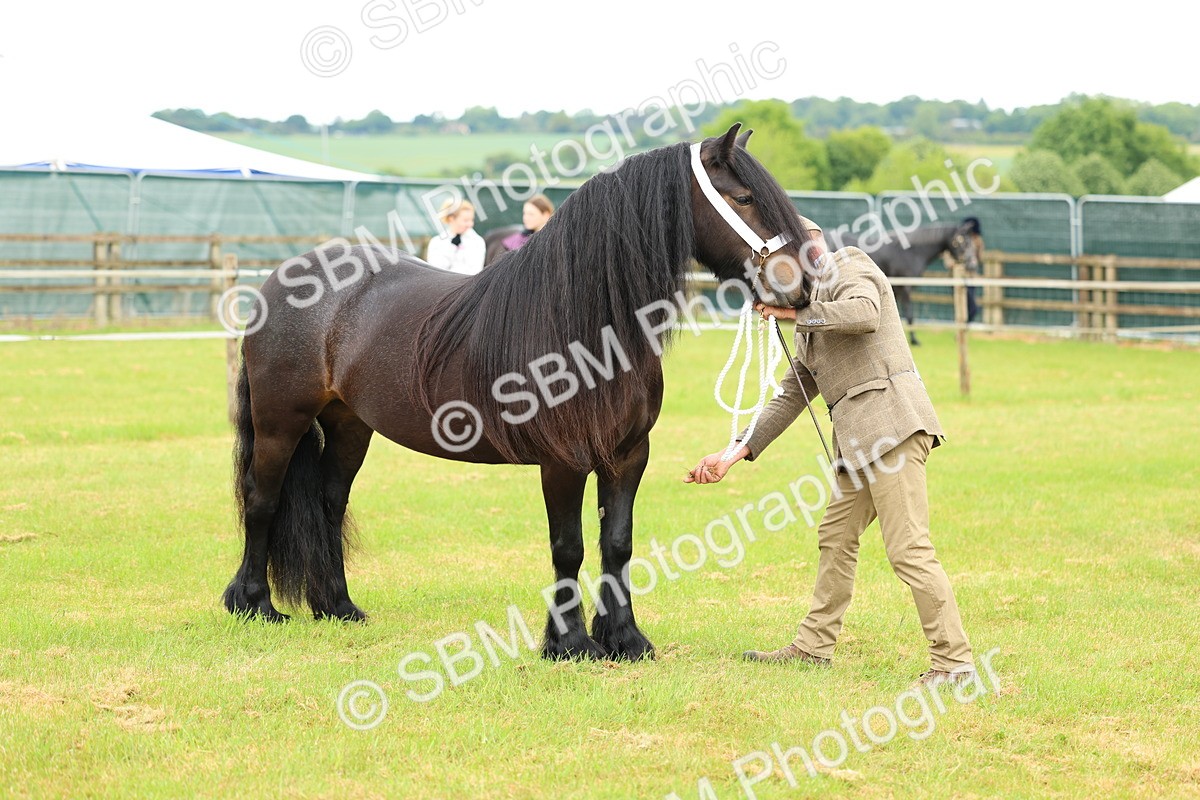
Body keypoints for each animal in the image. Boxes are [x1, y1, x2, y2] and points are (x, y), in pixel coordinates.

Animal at [221, 124, 817, 661]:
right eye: (744, 198)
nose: (805, 286)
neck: (587, 325)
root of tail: (285, 277)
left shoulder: (628, 454)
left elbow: (617, 543)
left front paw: (625, 640)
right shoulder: (563, 459)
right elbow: (568, 546)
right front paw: (569, 644)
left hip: (348, 425)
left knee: (329, 502)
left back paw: (337, 607)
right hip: (280, 422)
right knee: (262, 498)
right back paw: (254, 605)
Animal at [829, 219, 981, 345]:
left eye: (972, 243)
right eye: (962, 241)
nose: (972, 265)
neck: (911, 252)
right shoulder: (905, 288)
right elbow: (909, 314)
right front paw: (914, 340)